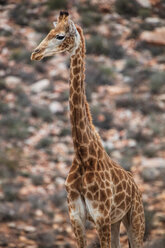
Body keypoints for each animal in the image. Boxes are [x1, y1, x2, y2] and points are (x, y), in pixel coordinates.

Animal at [31, 10, 144, 247]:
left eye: (60, 36)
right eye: (49, 32)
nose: (35, 54)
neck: (83, 155)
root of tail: (136, 187)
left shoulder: (101, 217)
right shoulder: (76, 217)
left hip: (135, 219)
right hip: (116, 222)